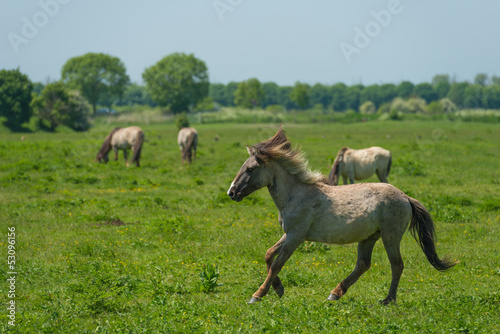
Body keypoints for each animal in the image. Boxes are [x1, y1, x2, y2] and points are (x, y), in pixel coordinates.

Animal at [227, 126, 458, 304]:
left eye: (250, 169)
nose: (232, 192)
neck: (296, 195)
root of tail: (406, 197)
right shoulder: (290, 233)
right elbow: (268, 255)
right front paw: (278, 288)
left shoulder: (296, 237)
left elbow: (277, 263)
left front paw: (257, 295)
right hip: (369, 237)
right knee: (363, 264)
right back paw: (335, 294)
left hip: (390, 236)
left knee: (396, 265)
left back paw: (388, 299)